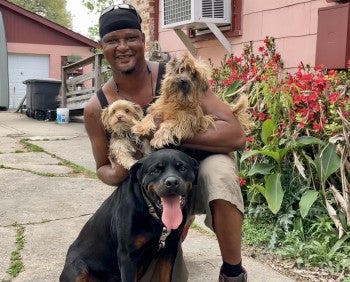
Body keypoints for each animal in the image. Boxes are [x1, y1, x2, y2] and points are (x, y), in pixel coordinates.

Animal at [58, 149, 198, 280]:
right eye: (155, 170)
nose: (172, 182)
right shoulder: (127, 256)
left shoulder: (169, 250)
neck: (153, 213)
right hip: (77, 268)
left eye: (182, 168)